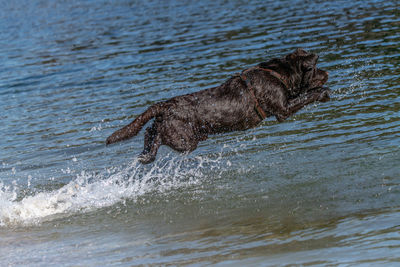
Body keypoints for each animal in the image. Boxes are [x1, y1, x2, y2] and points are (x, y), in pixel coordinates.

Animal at [104, 48, 330, 163]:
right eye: (315, 68)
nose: (327, 73)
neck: (278, 74)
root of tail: (164, 105)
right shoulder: (283, 110)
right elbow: (306, 96)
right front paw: (322, 93)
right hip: (185, 139)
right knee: (155, 133)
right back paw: (148, 155)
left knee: (149, 130)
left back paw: (145, 153)